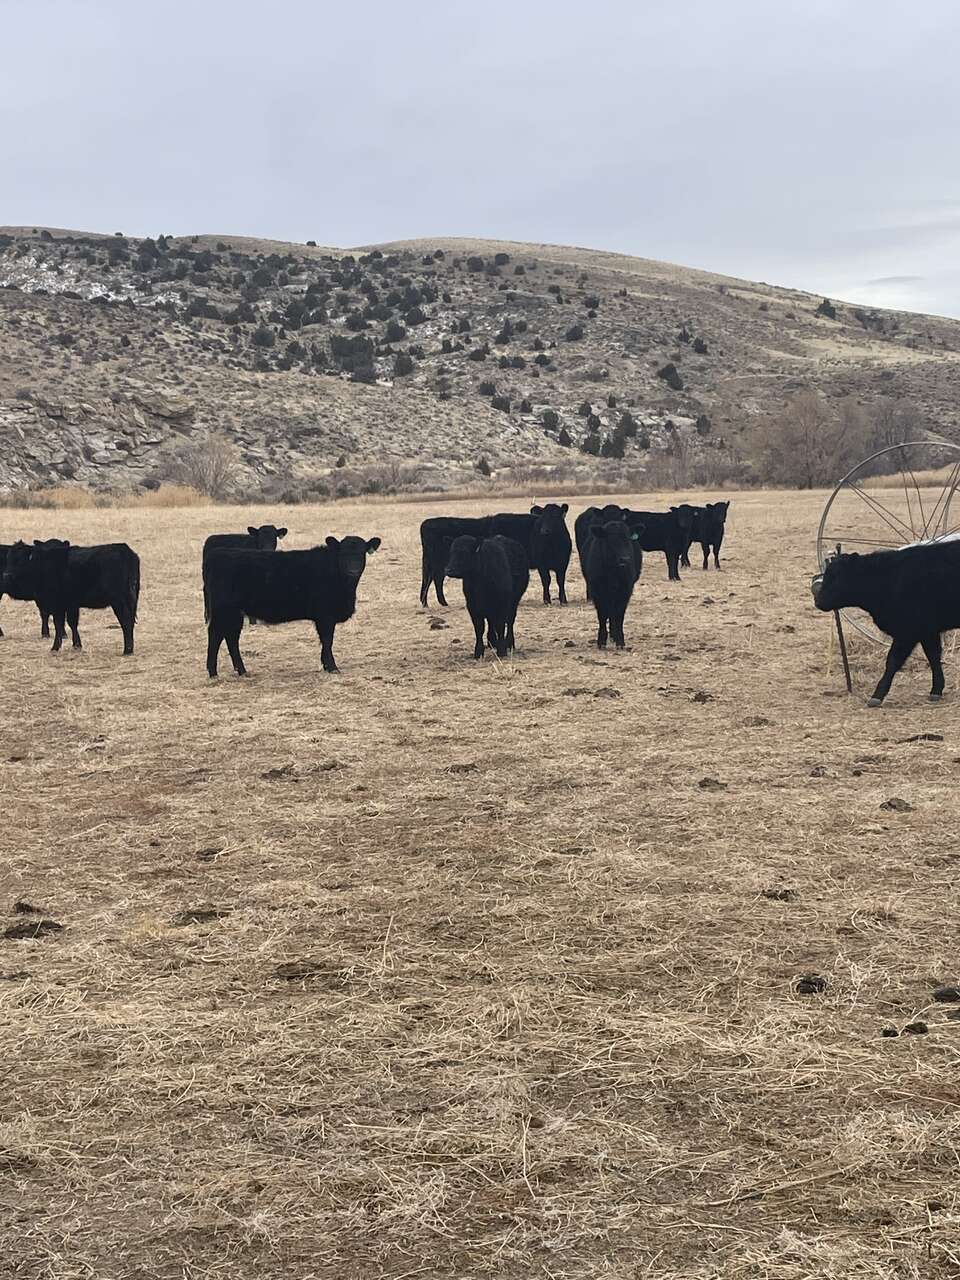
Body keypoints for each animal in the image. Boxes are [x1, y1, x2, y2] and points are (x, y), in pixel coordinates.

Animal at [3, 539, 140, 654]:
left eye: (20, 560)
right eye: (8, 559)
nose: (6, 575)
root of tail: (125, 550)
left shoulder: (57, 604)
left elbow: (59, 624)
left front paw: (55, 647)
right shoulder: (71, 604)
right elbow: (71, 623)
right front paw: (77, 645)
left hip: (118, 600)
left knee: (126, 621)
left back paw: (127, 650)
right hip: (131, 598)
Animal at [203, 535, 380, 677]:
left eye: (362, 552)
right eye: (343, 553)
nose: (353, 570)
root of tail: (218, 553)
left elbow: (325, 642)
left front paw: (326, 665)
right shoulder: (325, 616)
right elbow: (327, 640)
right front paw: (332, 667)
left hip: (234, 613)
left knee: (231, 637)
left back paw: (241, 671)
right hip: (224, 610)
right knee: (216, 635)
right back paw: (213, 672)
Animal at [582, 518, 642, 649]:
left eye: (628, 540)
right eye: (611, 541)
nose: (625, 559)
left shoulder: (626, 591)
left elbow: (619, 615)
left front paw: (620, 641)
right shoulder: (597, 592)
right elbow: (602, 615)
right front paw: (601, 641)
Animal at [813, 540, 960, 705]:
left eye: (837, 577)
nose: (818, 602)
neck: (888, 578)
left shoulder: (908, 631)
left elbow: (893, 661)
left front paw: (877, 695)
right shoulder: (927, 631)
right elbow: (933, 656)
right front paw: (936, 690)